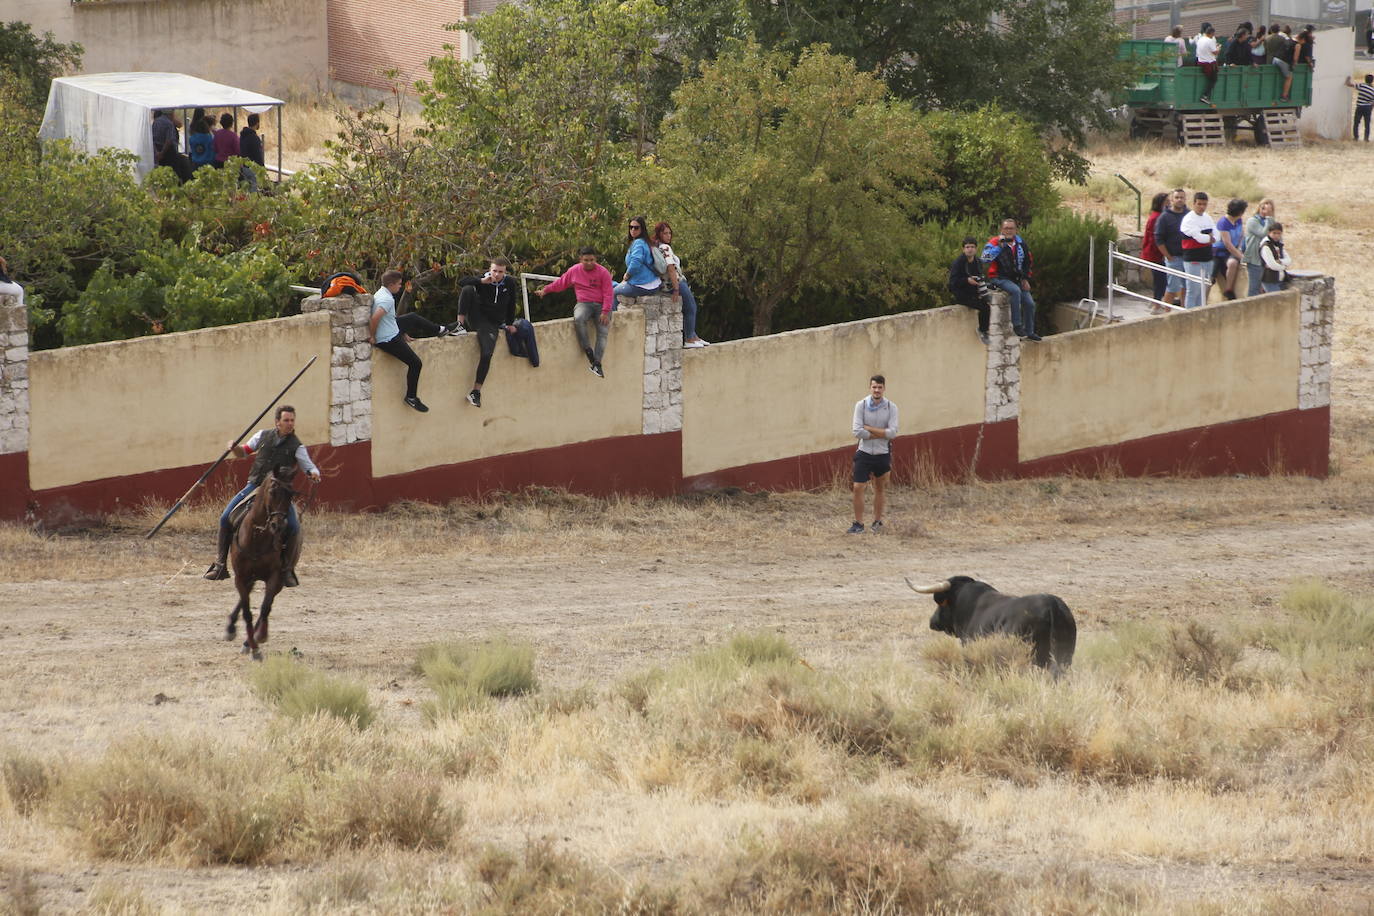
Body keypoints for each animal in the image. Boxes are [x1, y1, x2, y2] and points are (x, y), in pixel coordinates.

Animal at [225, 472, 295, 659]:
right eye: (272, 492)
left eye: (291, 495)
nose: (278, 526)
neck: (257, 537)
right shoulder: (240, 577)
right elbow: (247, 612)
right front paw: (255, 649)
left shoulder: (275, 576)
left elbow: (265, 608)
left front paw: (260, 638)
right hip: (250, 577)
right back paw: (232, 629)